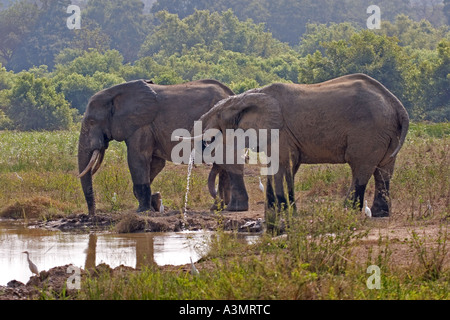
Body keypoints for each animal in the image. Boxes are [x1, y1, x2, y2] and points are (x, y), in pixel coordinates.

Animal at [76, 79, 246, 216]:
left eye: (92, 122)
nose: (92, 215)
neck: (114, 94)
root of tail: (232, 93)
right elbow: (155, 163)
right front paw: (154, 203)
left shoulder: (141, 125)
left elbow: (137, 158)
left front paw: (143, 211)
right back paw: (220, 207)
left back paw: (220, 207)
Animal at [195, 74, 410, 226]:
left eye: (217, 115)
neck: (246, 96)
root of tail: (398, 105)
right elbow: (285, 165)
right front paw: (278, 210)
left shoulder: (280, 130)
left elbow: (282, 164)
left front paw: (284, 209)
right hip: (386, 133)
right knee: (384, 171)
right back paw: (380, 213)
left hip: (368, 133)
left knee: (361, 168)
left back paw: (347, 210)